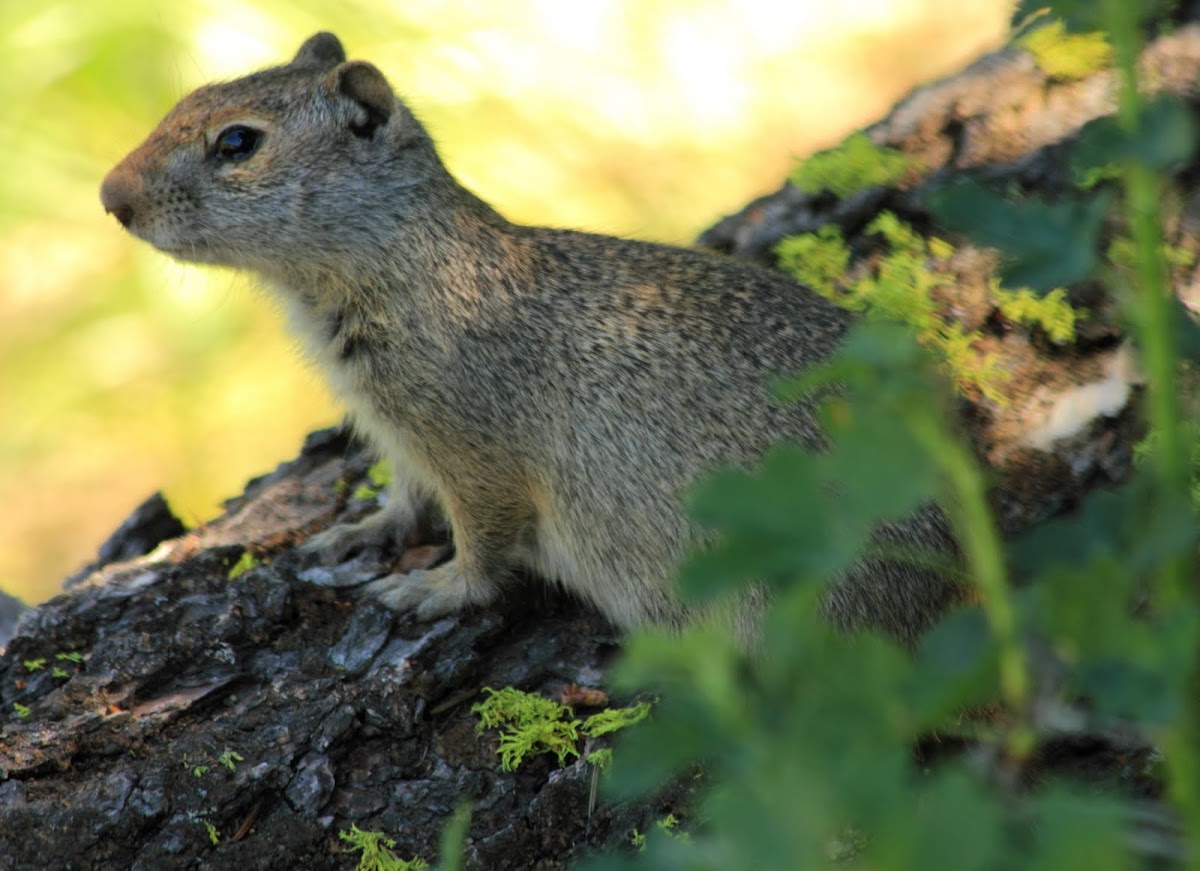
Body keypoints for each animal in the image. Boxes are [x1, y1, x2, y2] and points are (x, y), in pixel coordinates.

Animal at [103, 32, 964, 643]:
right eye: (190, 95)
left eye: (237, 143)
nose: (113, 197)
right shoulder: (401, 436)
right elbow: (406, 495)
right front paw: (359, 530)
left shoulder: (476, 453)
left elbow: (483, 541)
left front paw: (434, 587)